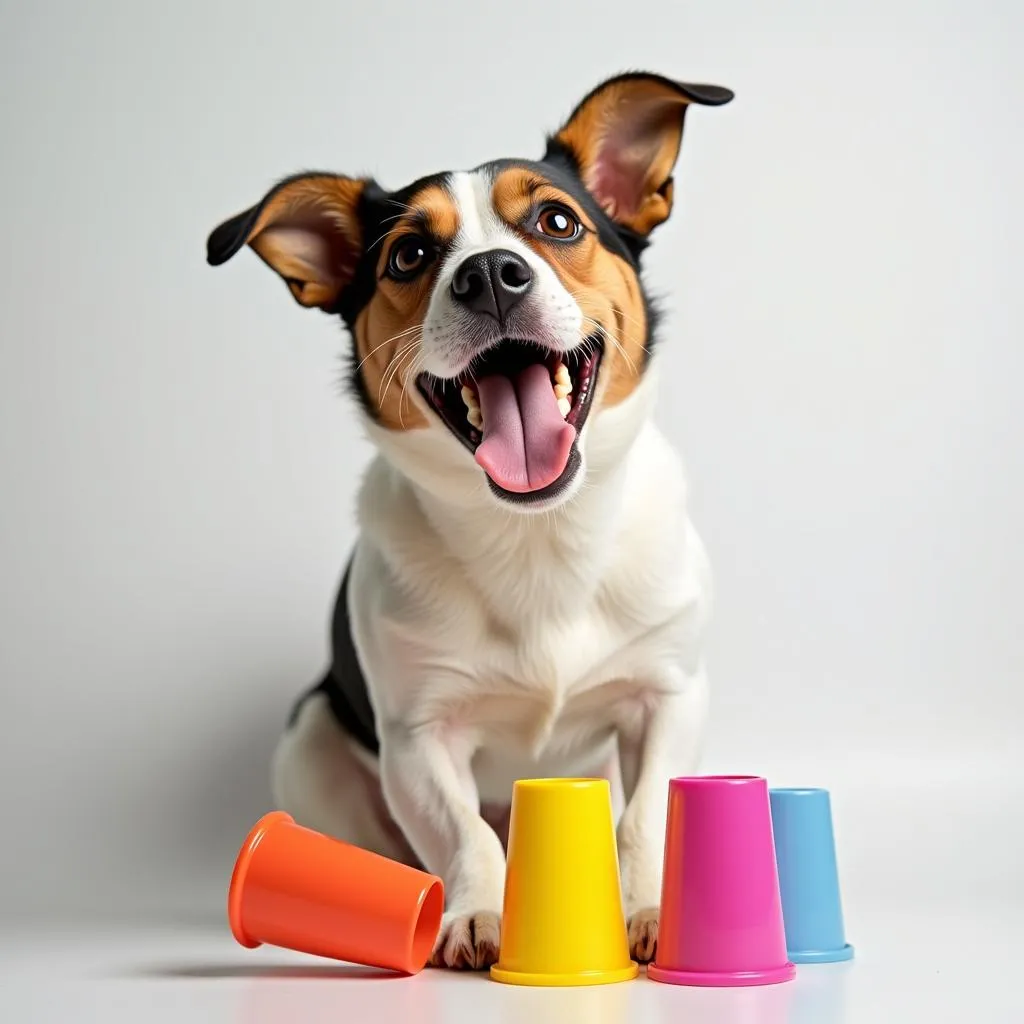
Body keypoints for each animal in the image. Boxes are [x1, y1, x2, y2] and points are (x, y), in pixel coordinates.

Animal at [207, 72, 733, 966]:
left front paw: (647, 907)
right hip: (312, 740)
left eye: (558, 221)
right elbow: (464, 833)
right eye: (409, 255)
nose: (489, 273)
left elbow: (644, 816)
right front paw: (478, 909)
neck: (536, 532)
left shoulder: (668, 694)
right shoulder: (418, 737)